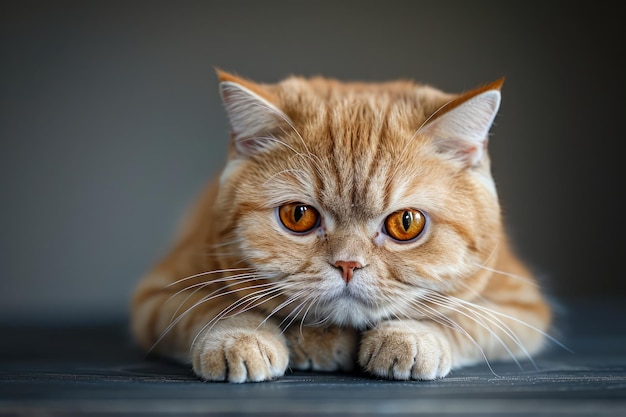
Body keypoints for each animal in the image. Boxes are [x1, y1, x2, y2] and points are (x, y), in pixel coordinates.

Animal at [128, 69, 552, 384]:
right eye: (298, 215)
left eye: (406, 223)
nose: (348, 265)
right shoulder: (158, 294)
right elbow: (211, 307)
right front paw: (242, 336)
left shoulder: (522, 306)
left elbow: (459, 318)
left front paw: (412, 336)